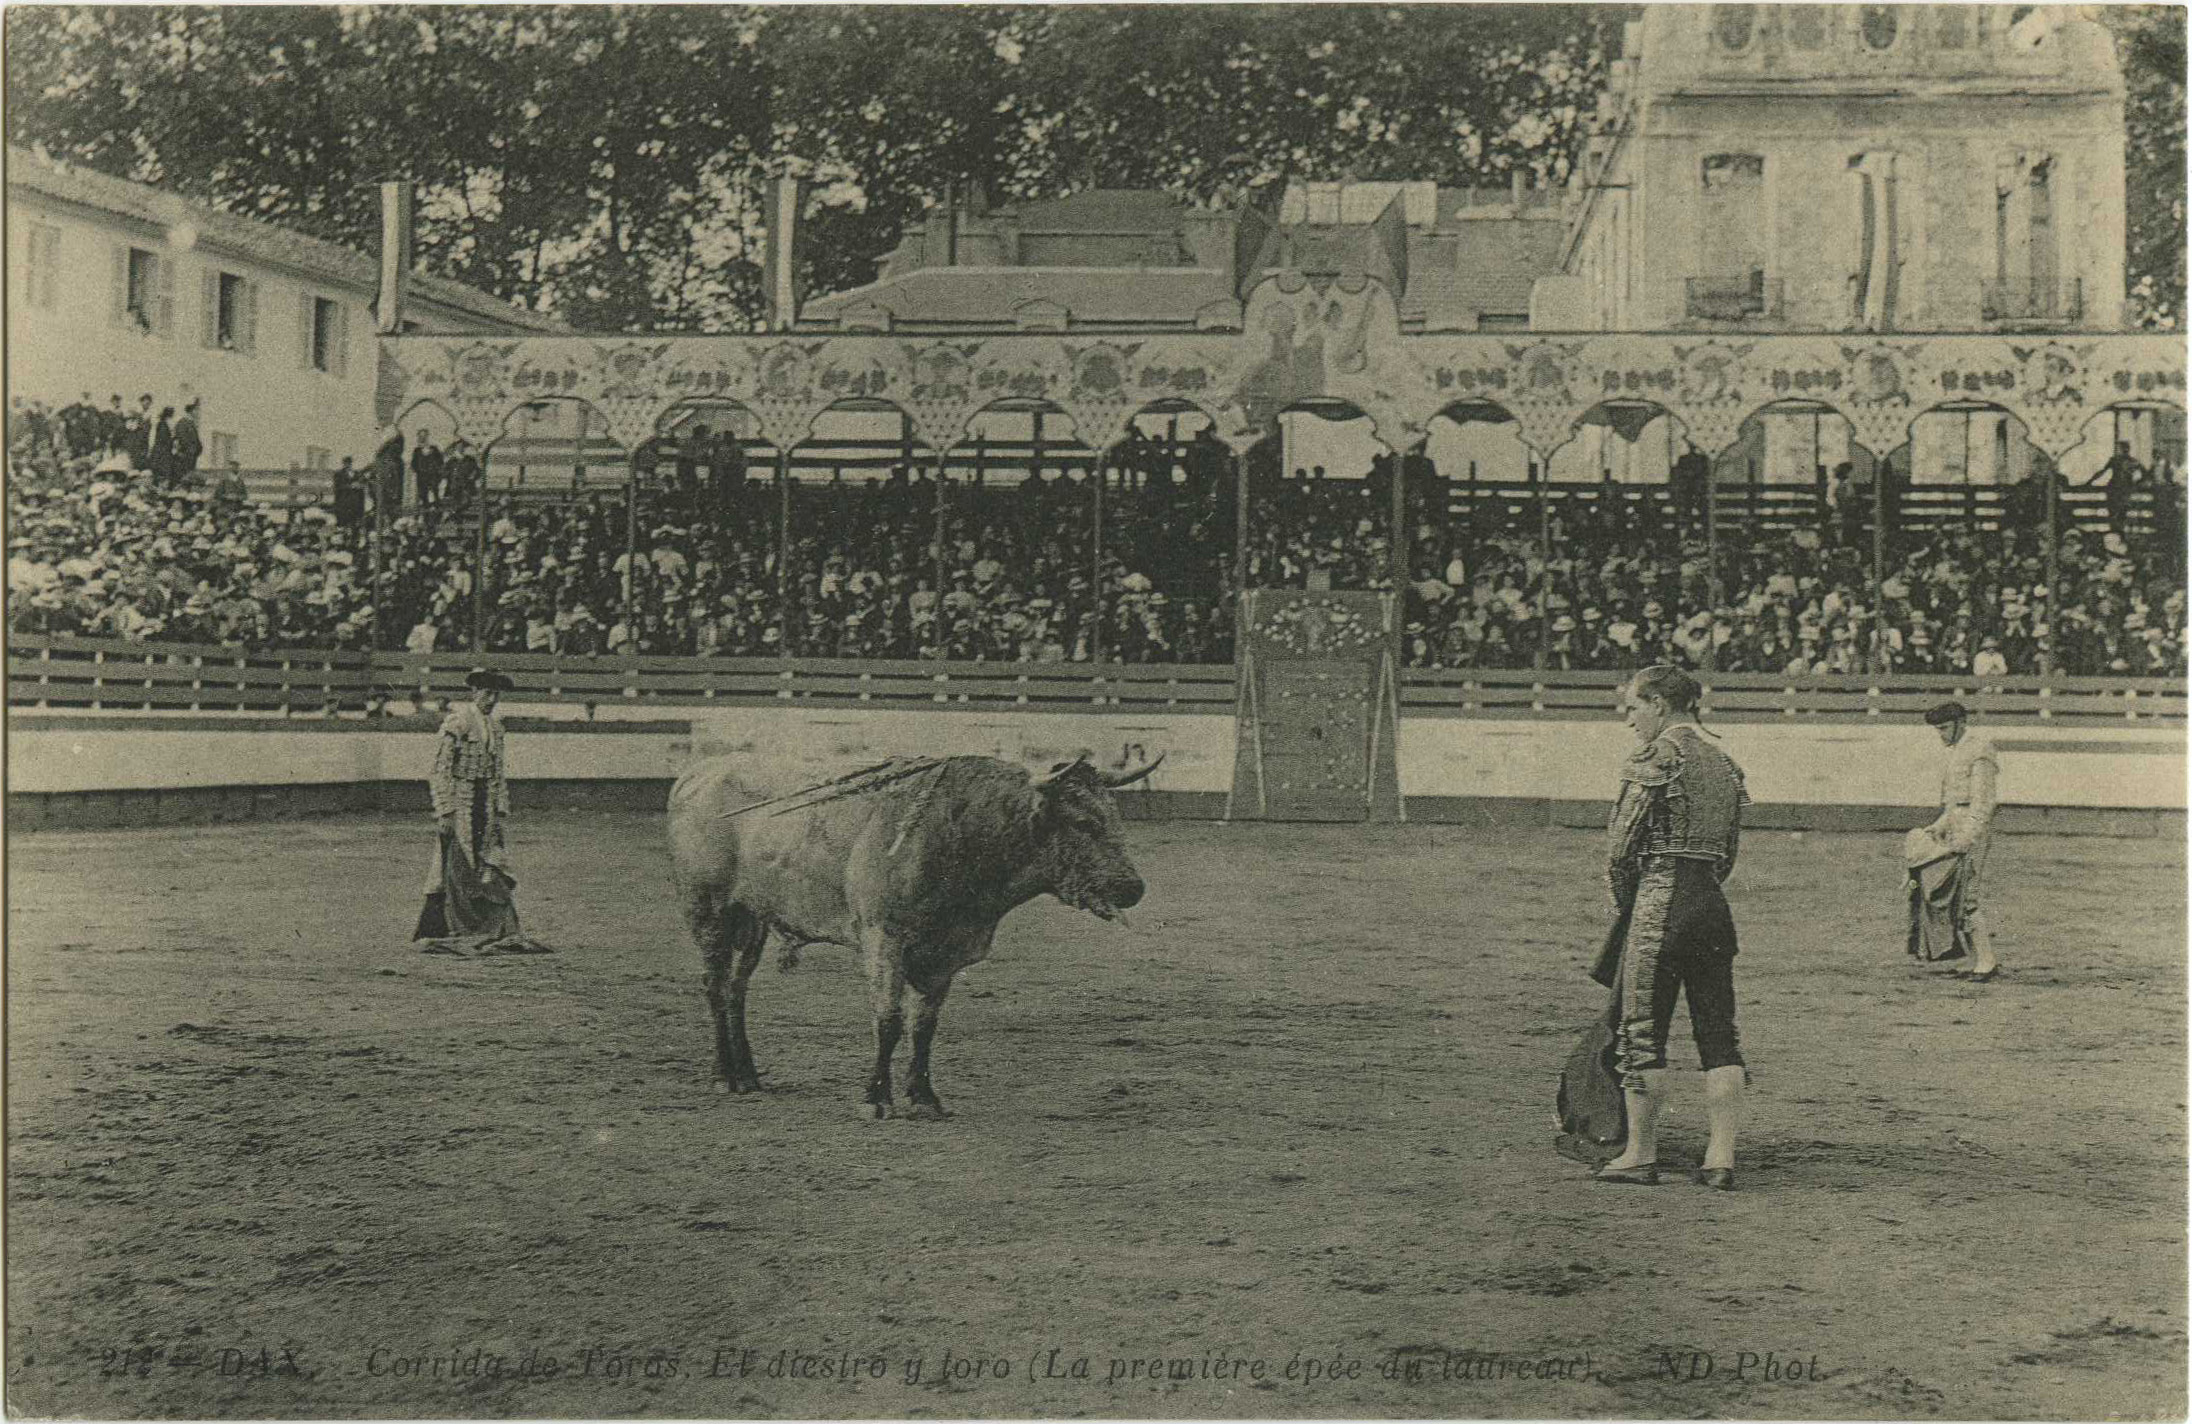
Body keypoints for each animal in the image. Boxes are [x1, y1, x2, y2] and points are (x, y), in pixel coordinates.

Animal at [666, 749, 1166, 1112]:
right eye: (1083, 822)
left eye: (1115, 817)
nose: (1133, 888)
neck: (966, 831)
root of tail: (696, 773)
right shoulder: (883, 939)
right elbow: (887, 1020)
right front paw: (876, 1098)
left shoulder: (946, 953)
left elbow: (923, 1025)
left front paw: (924, 1097)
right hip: (708, 911)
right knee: (715, 985)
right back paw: (724, 1076)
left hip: (753, 918)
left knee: (737, 989)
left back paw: (748, 1074)